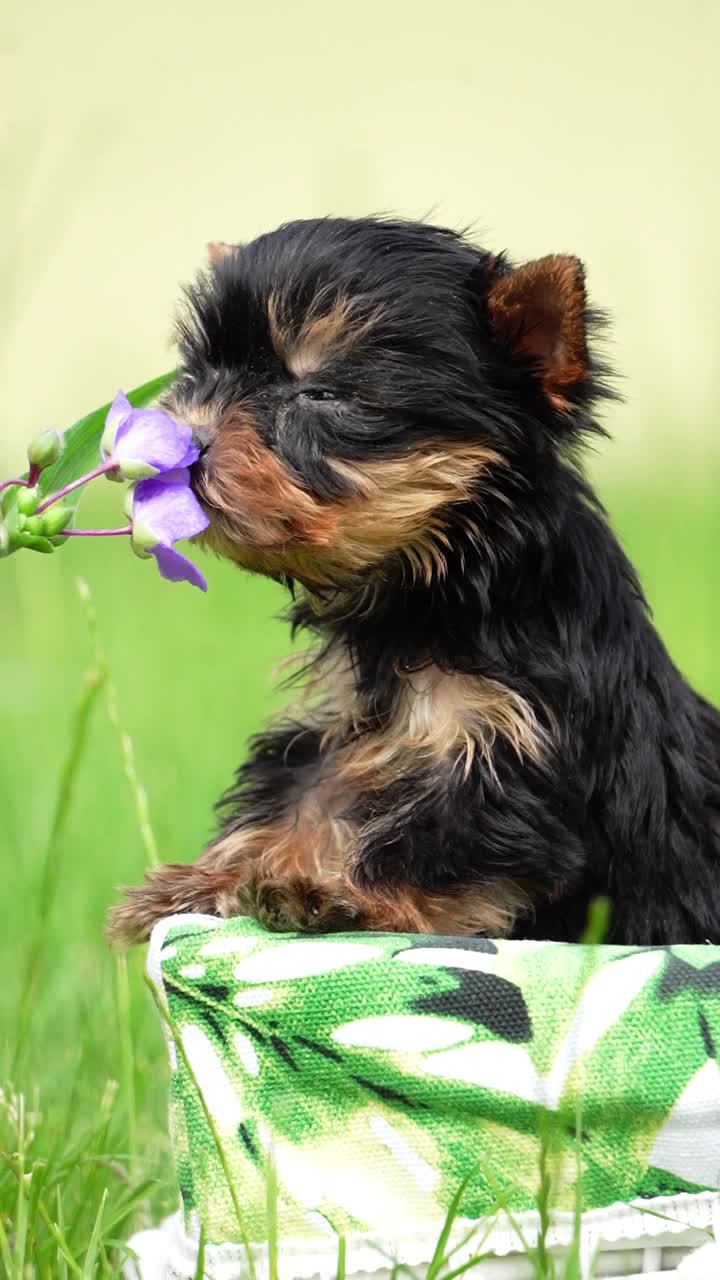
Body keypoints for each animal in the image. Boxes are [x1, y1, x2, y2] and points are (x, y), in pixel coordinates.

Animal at [106, 215, 717, 947]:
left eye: (321, 394)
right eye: (201, 375)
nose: (183, 445)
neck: (434, 583)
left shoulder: (519, 749)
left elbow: (435, 838)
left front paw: (336, 897)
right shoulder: (340, 725)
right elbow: (299, 793)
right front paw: (204, 881)